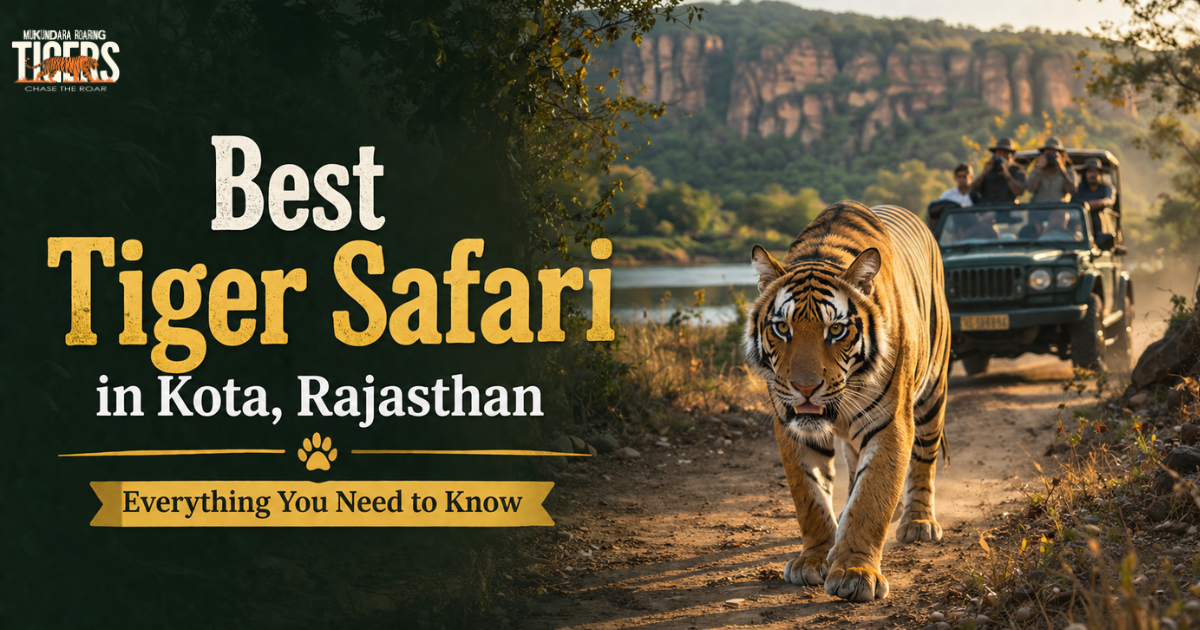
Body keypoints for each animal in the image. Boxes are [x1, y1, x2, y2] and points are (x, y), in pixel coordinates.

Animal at [744, 200, 951, 603]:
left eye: (836, 330)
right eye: (782, 328)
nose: (805, 387)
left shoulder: (892, 424)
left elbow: (870, 498)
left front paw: (855, 573)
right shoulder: (791, 427)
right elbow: (810, 496)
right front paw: (814, 558)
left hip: (931, 396)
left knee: (923, 462)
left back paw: (918, 522)